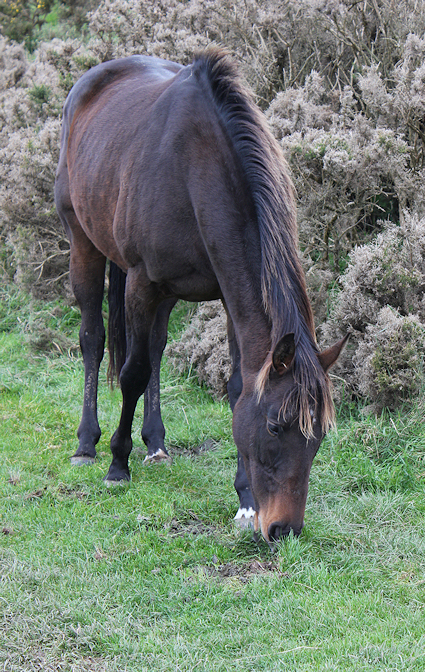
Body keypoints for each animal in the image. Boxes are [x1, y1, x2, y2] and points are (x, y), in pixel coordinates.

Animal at [54, 49, 346, 543]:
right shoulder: (141, 283)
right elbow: (132, 373)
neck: (194, 169)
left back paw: (155, 443)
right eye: (275, 426)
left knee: (155, 346)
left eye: (319, 437)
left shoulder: (228, 295)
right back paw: (87, 443)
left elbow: (236, 386)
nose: (283, 529)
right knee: (93, 339)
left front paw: (246, 501)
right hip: (84, 243)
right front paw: (117, 463)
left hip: (168, 294)